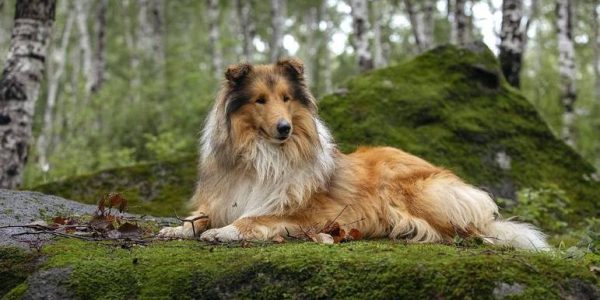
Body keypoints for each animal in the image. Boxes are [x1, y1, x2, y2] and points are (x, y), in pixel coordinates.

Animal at [158, 58, 548, 251]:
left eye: (286, 98)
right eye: (260, 100)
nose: (284, 128)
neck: (265, 155)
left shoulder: (306, 213)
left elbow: (253, 219)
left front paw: (222, 233)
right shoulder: (226, 199)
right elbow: (199, 218)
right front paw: (177, 229)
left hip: (414, 192)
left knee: (470, 231)